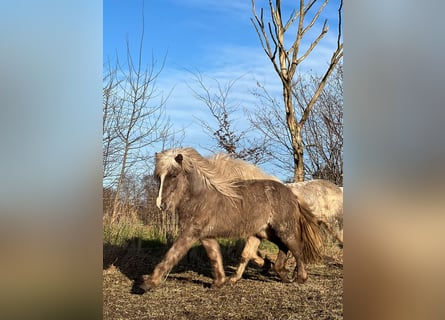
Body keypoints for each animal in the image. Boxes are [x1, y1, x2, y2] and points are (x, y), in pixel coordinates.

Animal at [140, 146, 320, 292]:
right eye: (158, 177)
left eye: (174, 175)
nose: (161, 204)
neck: (201, 198)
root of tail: (292, 194)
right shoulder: (205, 236)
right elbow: (214, 256)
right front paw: (219, 282)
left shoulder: (190, 233)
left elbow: (171, 254)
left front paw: (148, 283)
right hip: (266, 232)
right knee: (282, 248)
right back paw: (276, 271)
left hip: (283, 230)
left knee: (296, 248)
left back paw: (300, 277)